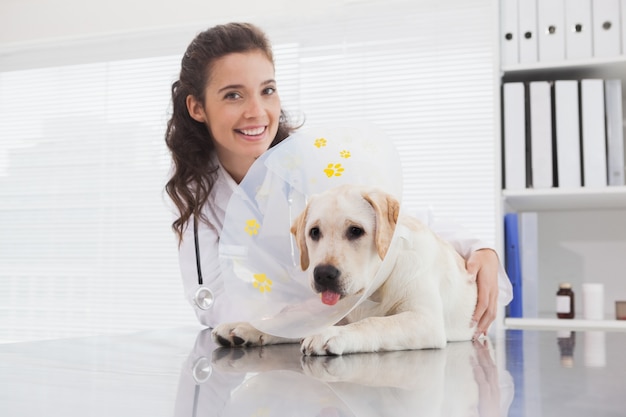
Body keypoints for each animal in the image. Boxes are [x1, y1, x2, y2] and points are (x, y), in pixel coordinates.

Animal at [212, 185, 476, 354]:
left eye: (356, 231)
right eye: (314, 232)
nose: (323, 274)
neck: (373, 292)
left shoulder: (425, 320)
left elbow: (374, 322)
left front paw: (334, 335)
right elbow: (290, 320)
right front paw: (245, 327)